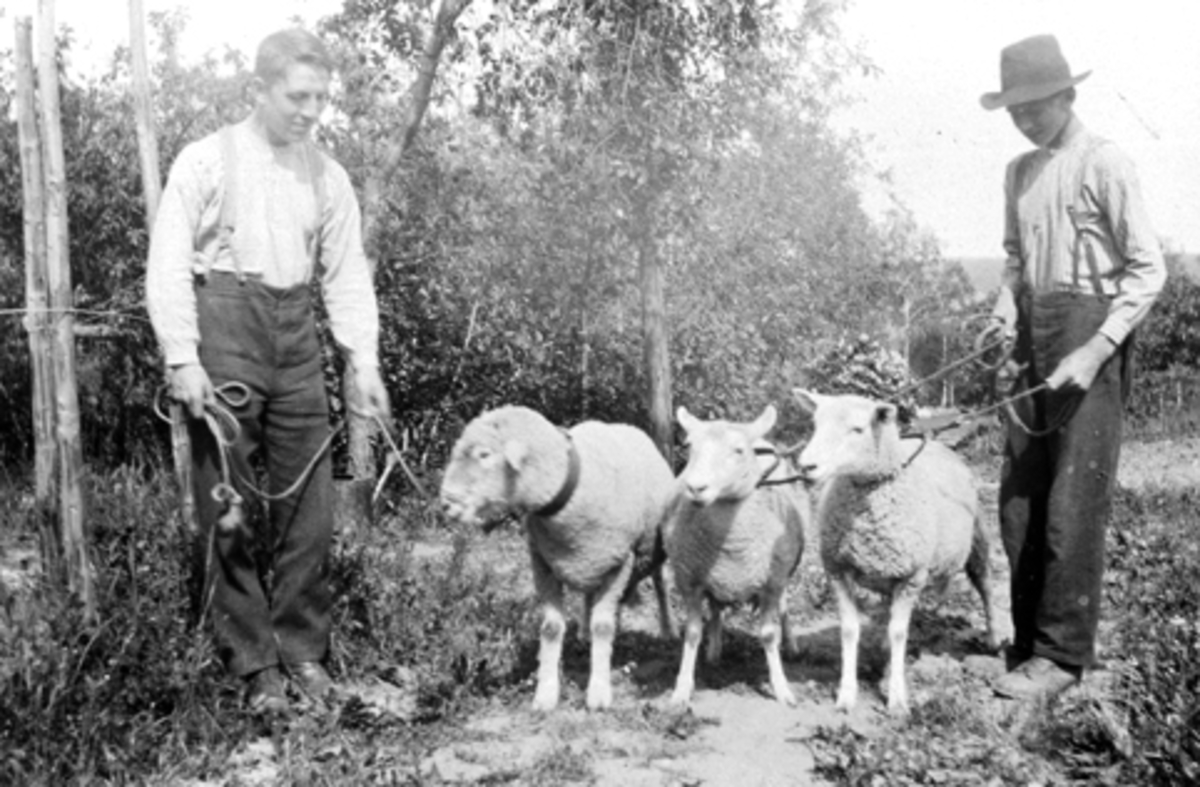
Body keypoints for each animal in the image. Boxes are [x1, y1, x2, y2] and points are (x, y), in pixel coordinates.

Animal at [436, 405, 676, 715]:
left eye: (484, 454)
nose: (445, 504)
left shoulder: (618, 563)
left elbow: (603, 626)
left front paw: (598, 692)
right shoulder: (544, 565)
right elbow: (551, 630)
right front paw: (546, 694)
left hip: (649, 548)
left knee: (659, 584)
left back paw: (667, 628)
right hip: (591, 560)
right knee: (591, 599)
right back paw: (585, 632)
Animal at [662, 405, 811, 705]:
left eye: (738, 450)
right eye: (690, 447)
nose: (695, 487)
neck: (731, 545)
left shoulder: (772, 581)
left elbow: (769, 634)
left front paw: (781, 688)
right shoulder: (689, 580)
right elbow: (692, 633)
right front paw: (682, 689)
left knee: (785, 607)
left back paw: (791, 645)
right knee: (716, 610)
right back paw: (714, 651)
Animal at [792, 391, 1008, 715]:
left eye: (858, 429)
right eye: (815, 424)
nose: (806, 466)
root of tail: (935, 442)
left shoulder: (911, 576)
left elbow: (899, 633)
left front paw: (896, 697)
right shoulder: (838, 570)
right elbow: (850, 630)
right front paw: (847, 693)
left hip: (977, 537)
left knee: (985, 585)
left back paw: (993, 637)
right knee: (888, 607)